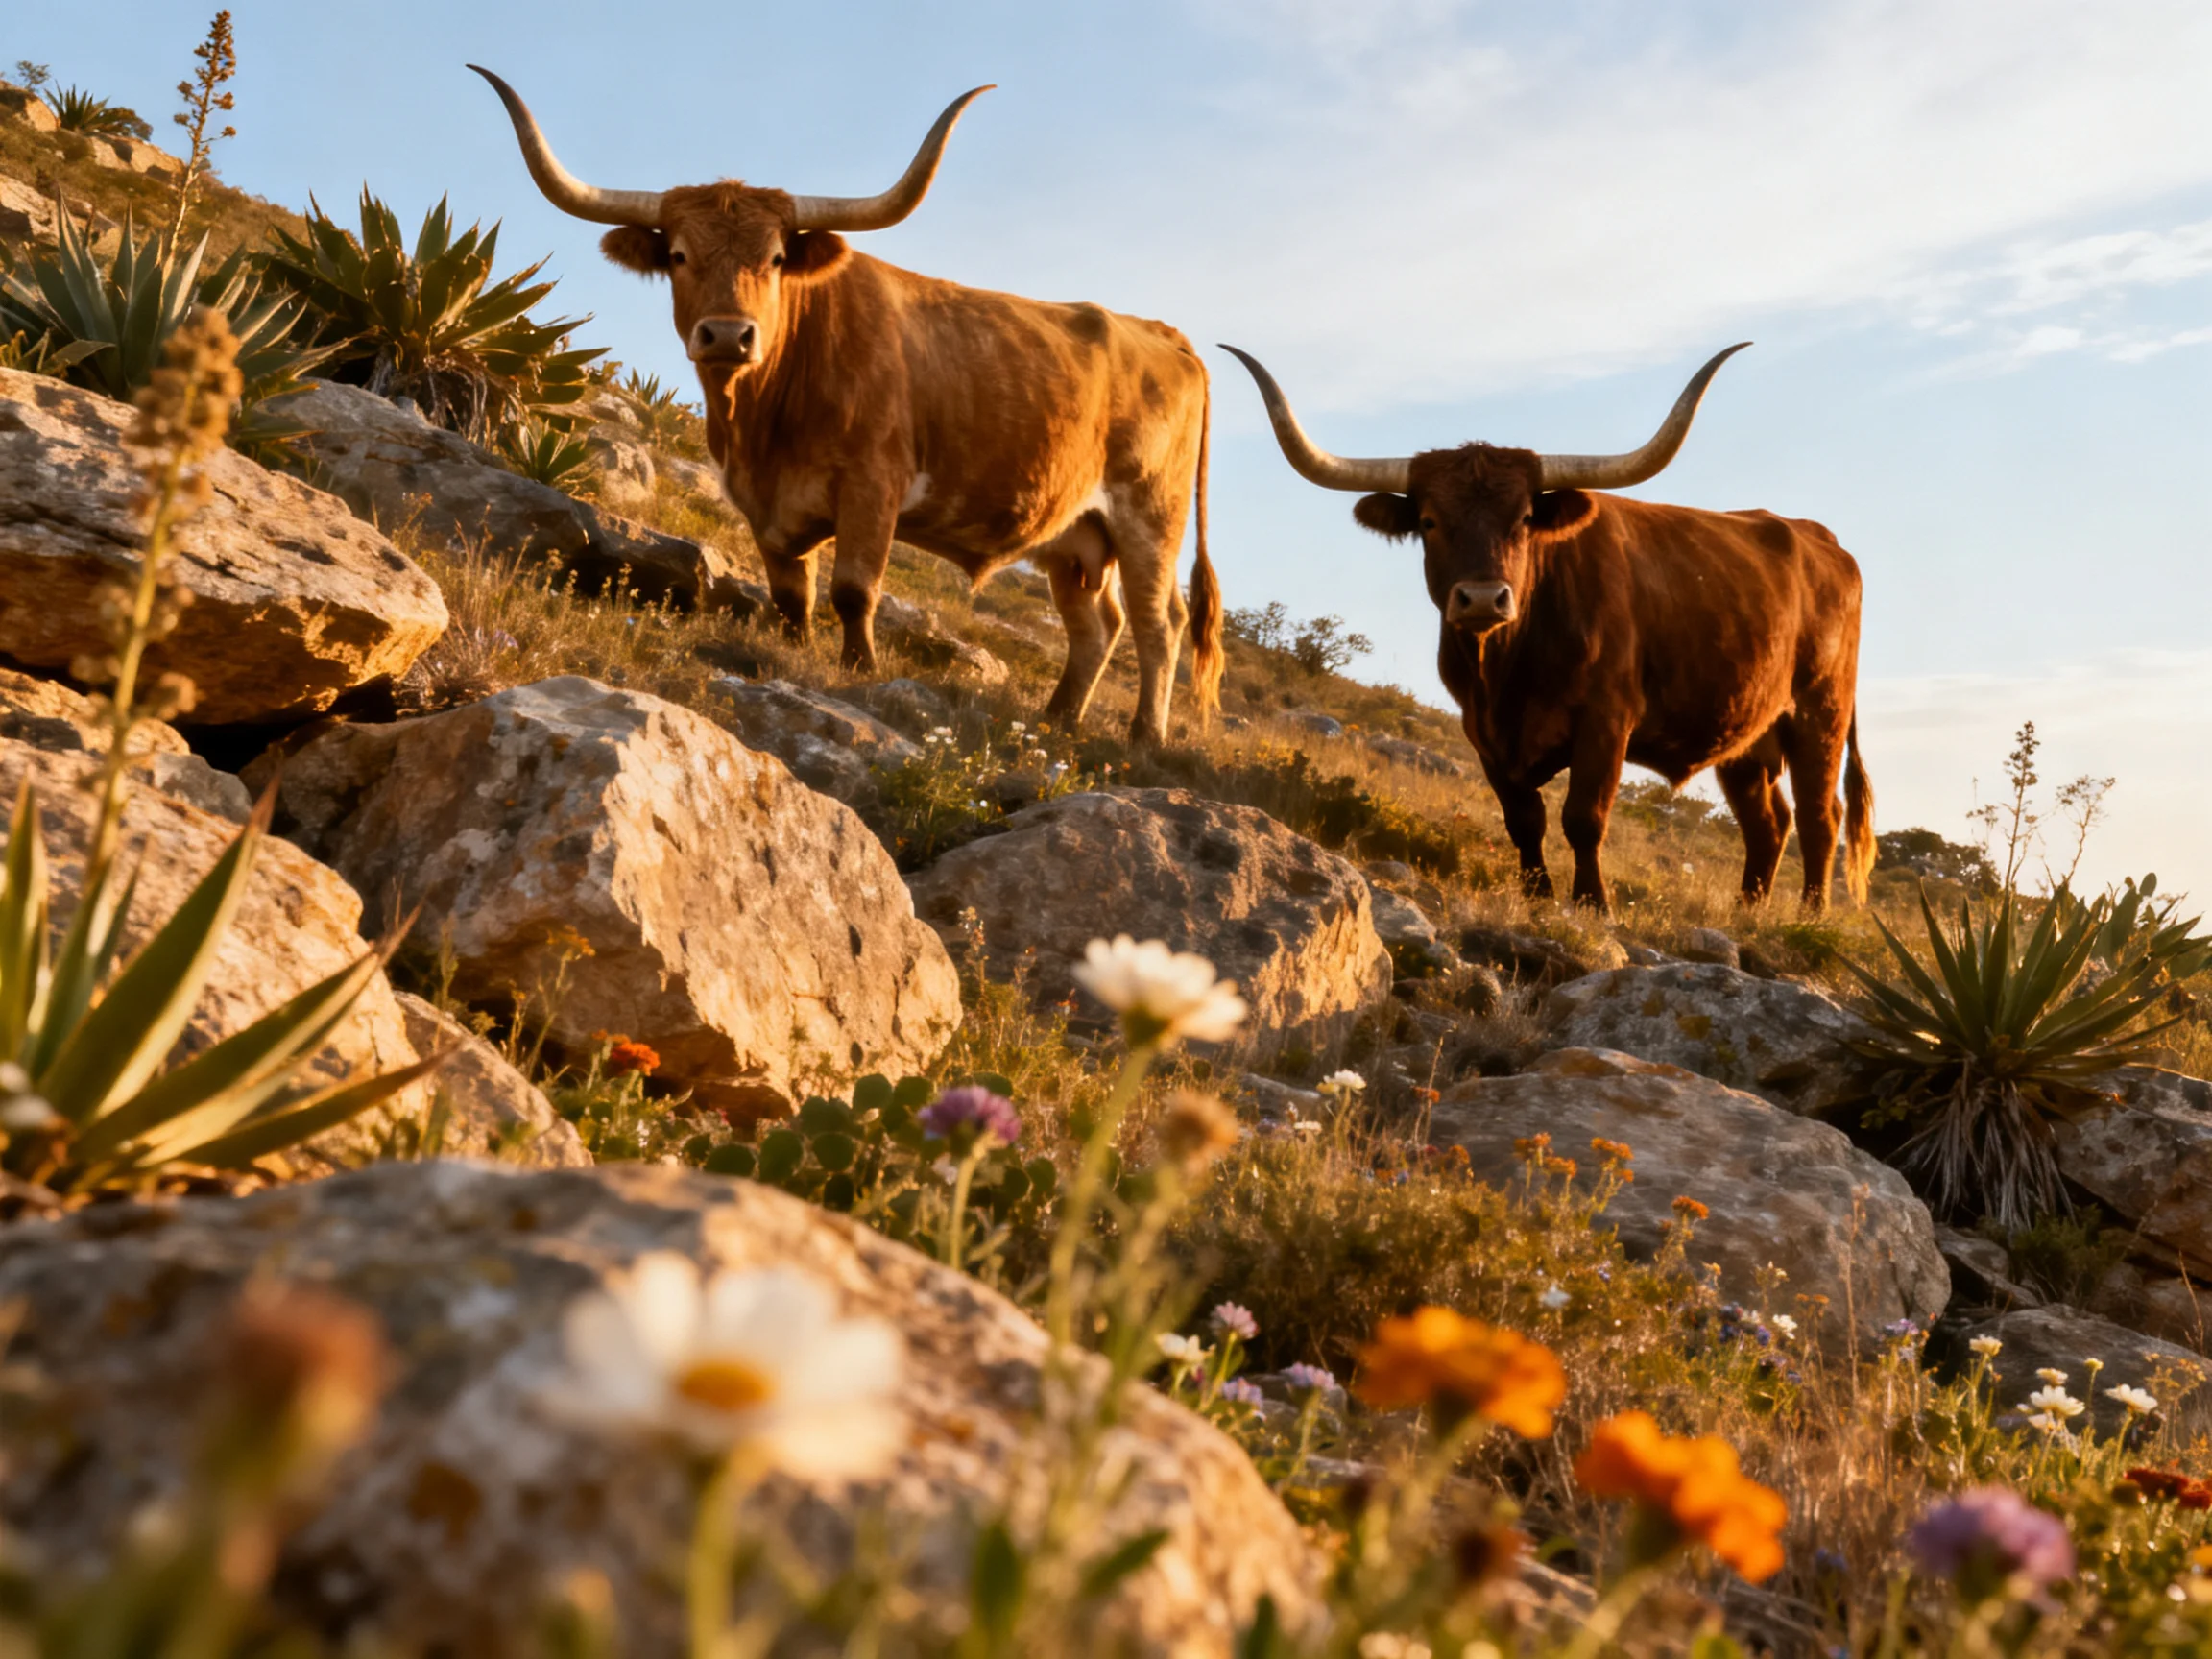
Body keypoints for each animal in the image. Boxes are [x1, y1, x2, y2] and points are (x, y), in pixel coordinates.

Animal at [472, 69, 1222, 745]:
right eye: (679, 255)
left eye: (777, 258)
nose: (727, 335)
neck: (764, 420)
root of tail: (1163, 334)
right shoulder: (766, 508)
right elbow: (791, 596)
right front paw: (796, 651)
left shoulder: (873, 486)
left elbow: (855, 590)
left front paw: (859, 671)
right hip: (1076, 537)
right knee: (1096, 624)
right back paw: (1057, 721)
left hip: (1150, 518)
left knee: (1158, 624)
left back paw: (1144, 736)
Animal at [1222, 343, 1873, 914]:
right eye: (1429, 521)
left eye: (1525, 518)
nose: (1483, 597)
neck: (1508, 670)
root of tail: (1821, 540)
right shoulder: (1481, 732)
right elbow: (1524, 820)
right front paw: (1537, 895)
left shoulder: (1607, 720)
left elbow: (1583, 817)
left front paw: (1592, 903)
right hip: (1746, 735)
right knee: (1769, 822)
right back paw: (1748, 910)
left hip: (1818, 713)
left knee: (1820, 817)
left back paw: (1810, 914)